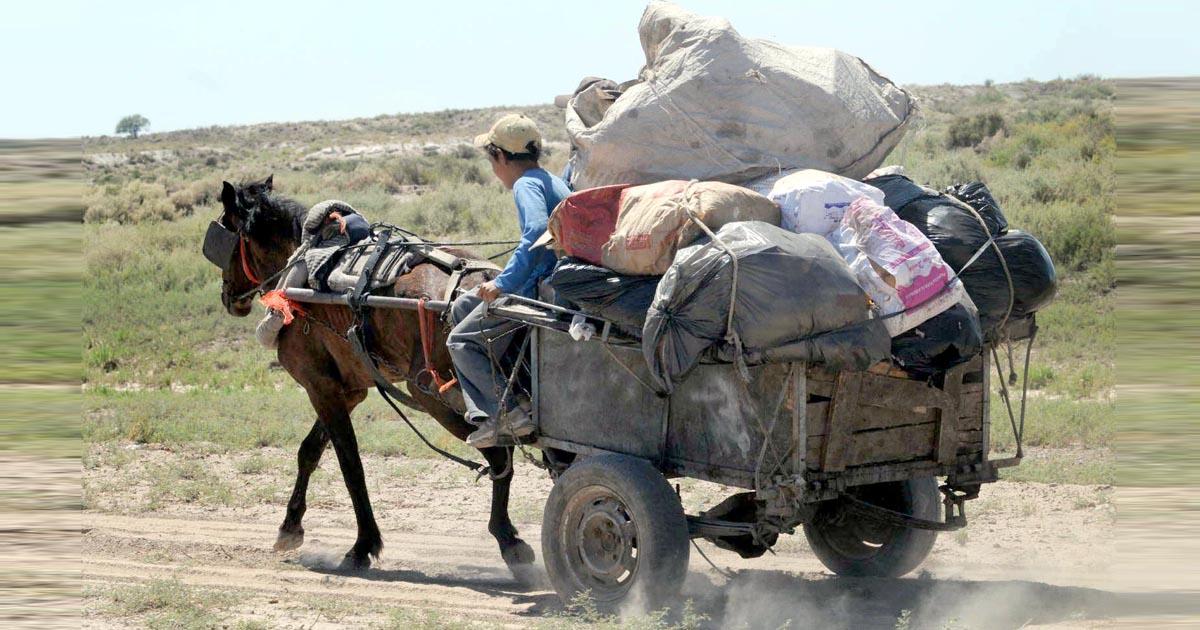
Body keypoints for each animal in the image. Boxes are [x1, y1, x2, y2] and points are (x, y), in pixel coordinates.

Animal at [211, 175, 535, 573]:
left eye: (224, 234)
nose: (228, 297)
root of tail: (488, 283)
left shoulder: (321, 388)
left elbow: (350, 464)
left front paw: (362, 545)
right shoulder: (347, 390)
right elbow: (309, 451)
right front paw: (290, 527)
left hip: (437, 397)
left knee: (500, 454)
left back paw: (508, 538)